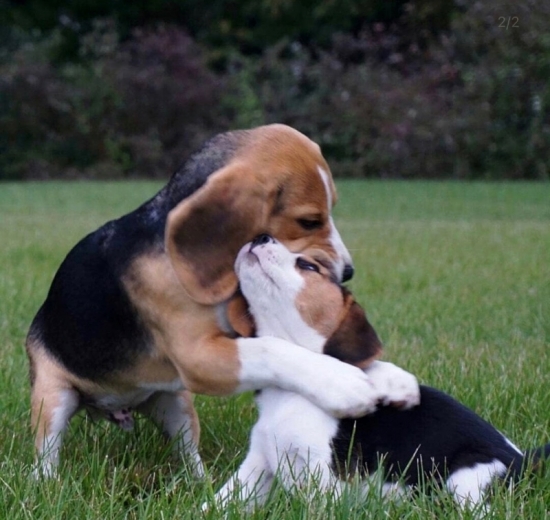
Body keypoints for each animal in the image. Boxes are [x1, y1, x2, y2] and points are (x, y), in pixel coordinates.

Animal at [27, 124, 396, 478]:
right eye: (308, 221)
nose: (347, 271)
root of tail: (112, 407)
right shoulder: (198, 356)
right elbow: (270, 349)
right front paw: (342, 383)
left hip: (176, 404)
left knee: (187, 451)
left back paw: (199, 482)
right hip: (52, 397)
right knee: (47, 452)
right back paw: (46, 483)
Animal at [216, 237, 550, 512]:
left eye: (308, 265)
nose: (261, 236)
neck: (293, 391)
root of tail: (523, 460)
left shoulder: (323, 472)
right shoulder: (259, 461)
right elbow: (225, 499)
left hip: (465, 478)